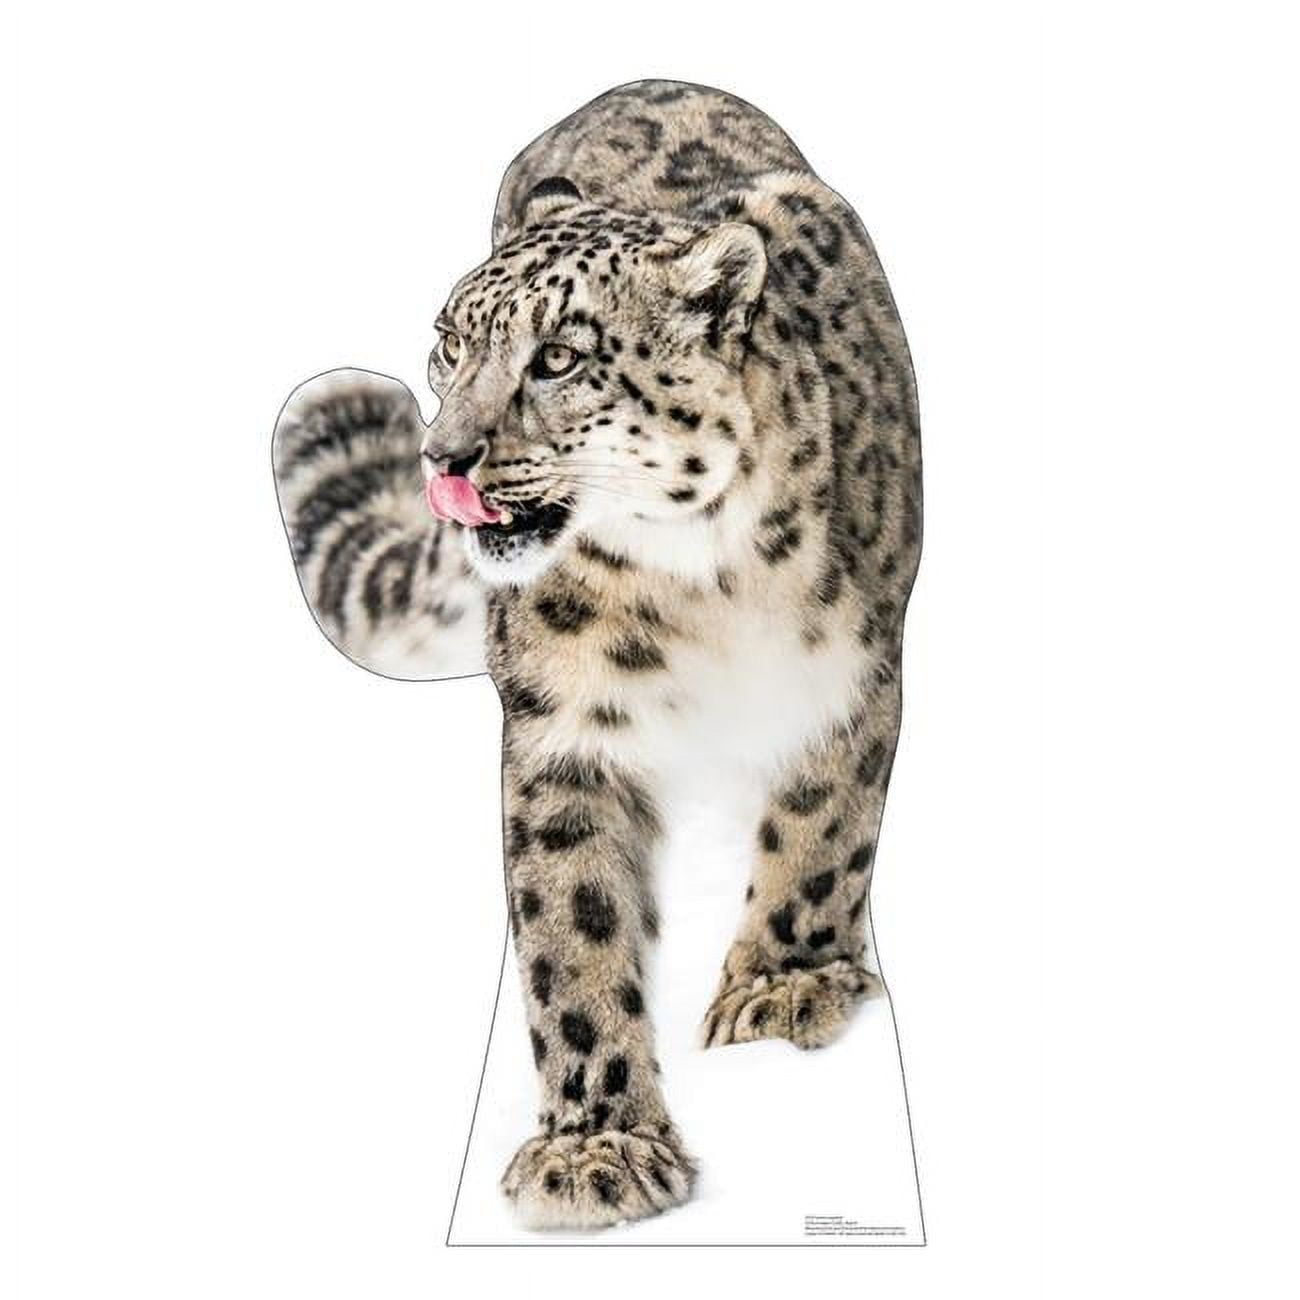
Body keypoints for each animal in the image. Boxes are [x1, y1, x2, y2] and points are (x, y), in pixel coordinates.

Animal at [272, 80, 922, 1230]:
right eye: (449, 343)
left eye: (560, 357)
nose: (442, 455)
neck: (699, 580)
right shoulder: (561, 725)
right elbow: (572, 929)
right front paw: (596, 1147)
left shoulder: (852, 672)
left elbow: (823, 834)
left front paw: (782, 992)